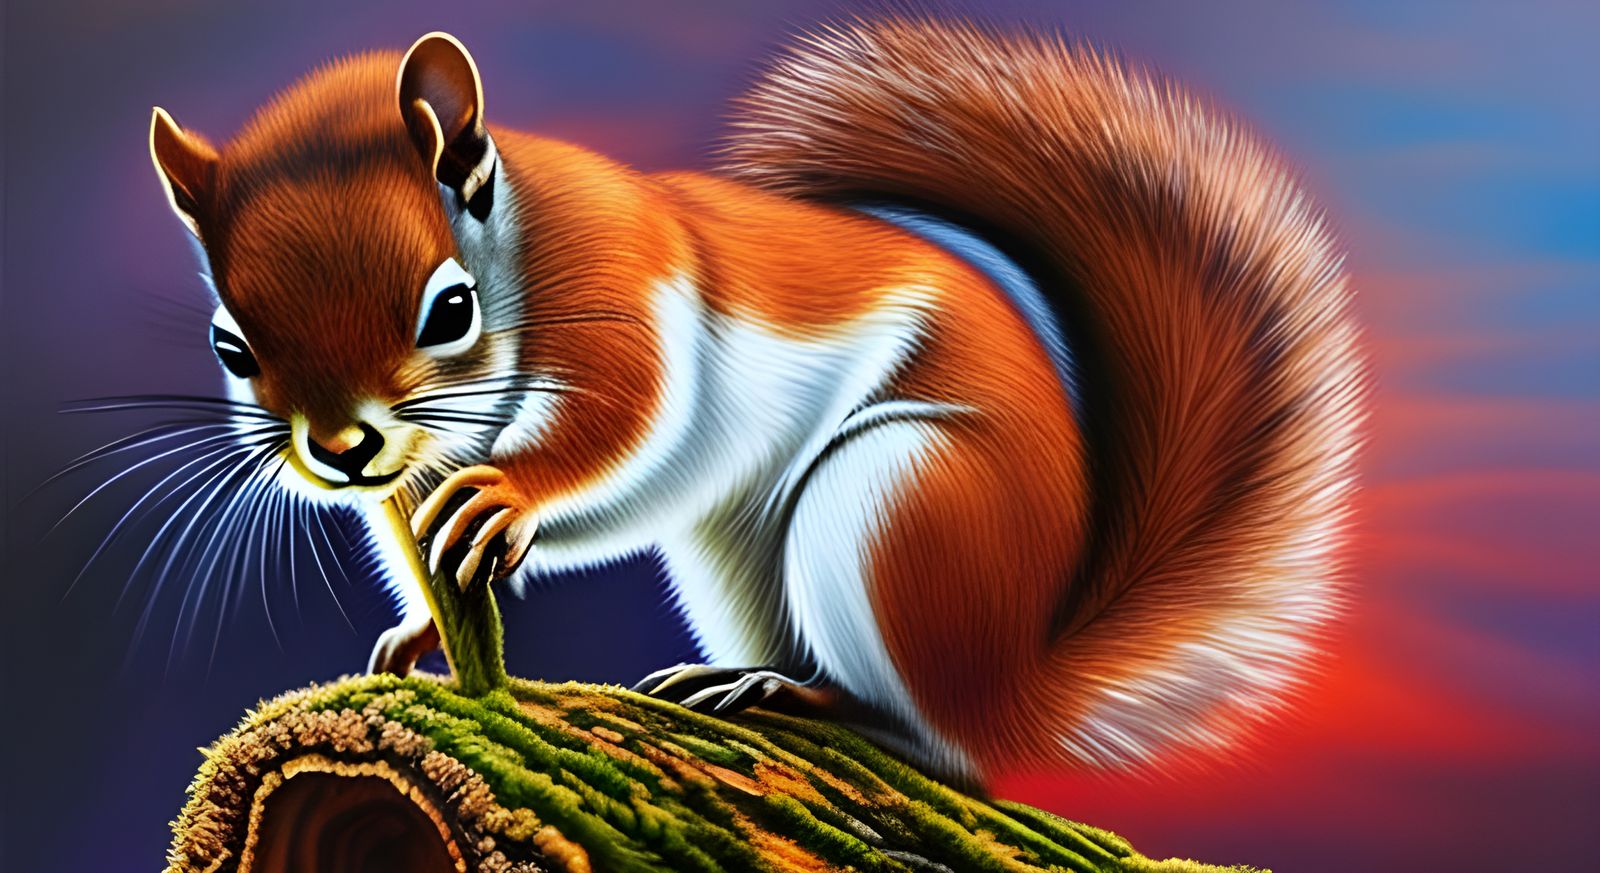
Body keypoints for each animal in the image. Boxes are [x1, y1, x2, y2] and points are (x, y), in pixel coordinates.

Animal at [145, 20, 1364, 783]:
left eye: (448, 310)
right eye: (229, 344)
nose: (343, 448)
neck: (517, 240)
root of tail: (1021, 678)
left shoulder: (620, 282)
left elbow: (624, 421)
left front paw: (507, 498)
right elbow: (414, 551)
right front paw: (409, 630)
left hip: (892, 508)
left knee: (941, 742)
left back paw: (805, 700)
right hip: (736, 553)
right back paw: (740, 674)